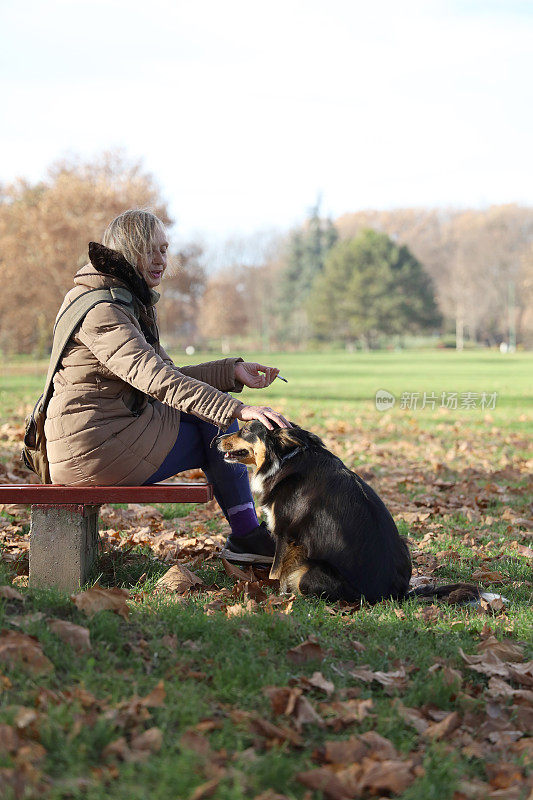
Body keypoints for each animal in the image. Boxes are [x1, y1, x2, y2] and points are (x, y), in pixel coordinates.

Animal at [216, 422, 412, 604]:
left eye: (246, 430)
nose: (216, 440)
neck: (284, 459)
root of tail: (388, 596)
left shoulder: (285, 534)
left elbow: (276, 571)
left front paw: (275, 592)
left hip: (309, 573)